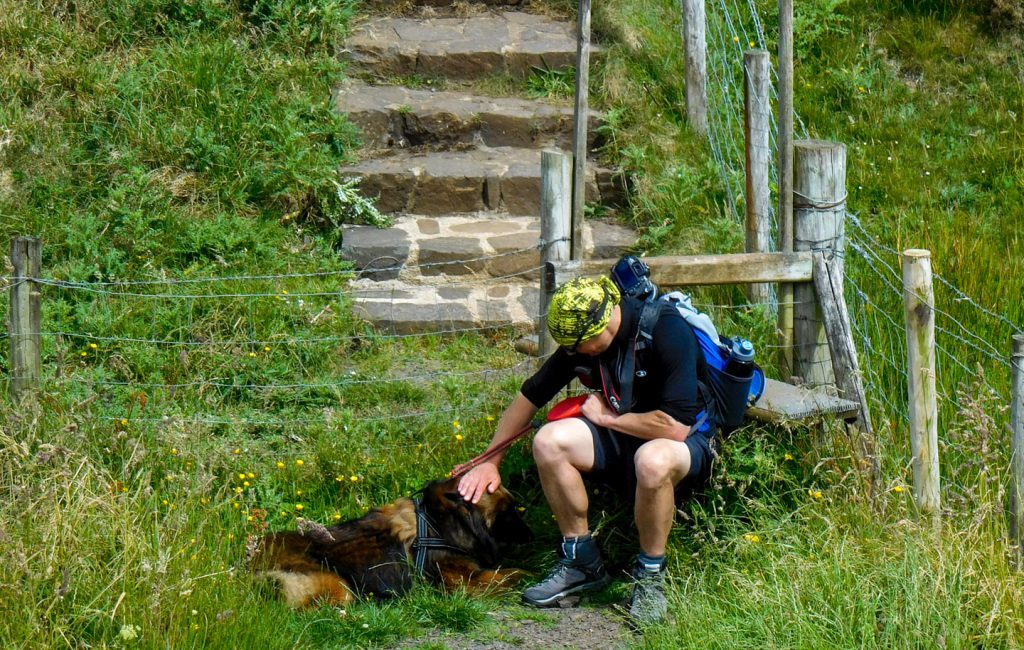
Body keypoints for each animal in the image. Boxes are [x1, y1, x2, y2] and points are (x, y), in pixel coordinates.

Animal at [251, 474, 532, 605]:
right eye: (509, 512)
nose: (531, 535)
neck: (438, 521)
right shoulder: (468, 581)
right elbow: (515, 573)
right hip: (338, 585)